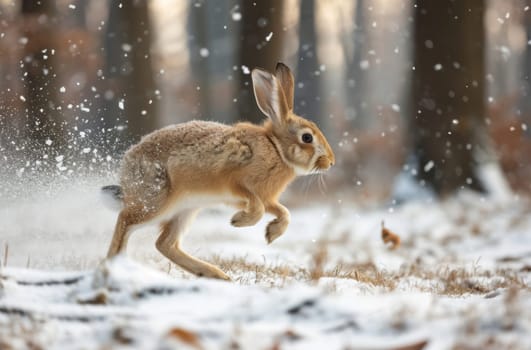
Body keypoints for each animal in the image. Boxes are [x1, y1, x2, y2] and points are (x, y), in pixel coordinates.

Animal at [104, 63, 334, 280]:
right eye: (307, 138)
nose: (331, 162)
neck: (276, 149)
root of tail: (127, 164)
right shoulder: (236, 184)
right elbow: (258, 207)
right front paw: (239, 221)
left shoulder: (265, 198)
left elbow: (284, 212)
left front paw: (272, 233)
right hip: (157, 201)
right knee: (125, 220)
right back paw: (115, 265)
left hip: (185, 210)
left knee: (165, 244)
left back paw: (215, 274)